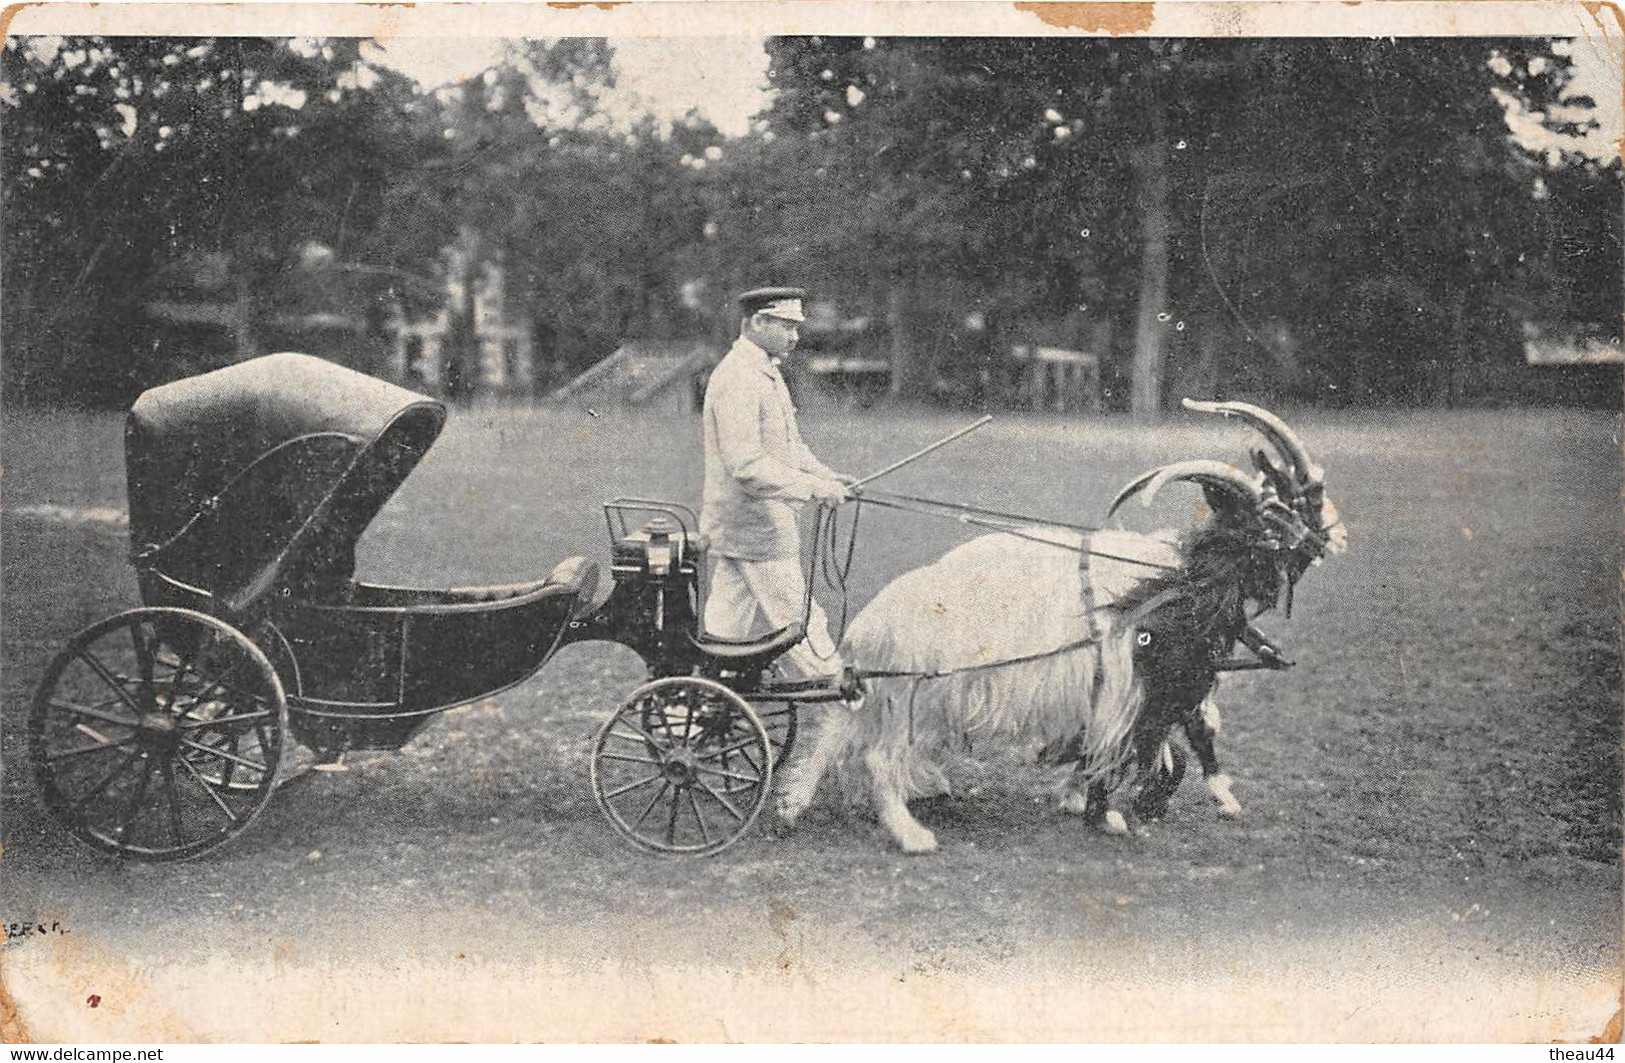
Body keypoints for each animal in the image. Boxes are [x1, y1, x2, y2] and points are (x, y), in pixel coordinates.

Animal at [773, 399, 1345, 858]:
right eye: (1278, 514)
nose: (1333, 541)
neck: (1173, 580)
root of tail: (872, 625)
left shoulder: (1131, 692)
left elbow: (1160, 746)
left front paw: (1094, 802)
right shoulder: (1136, 687)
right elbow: (1153, 748)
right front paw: (1112, 813)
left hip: (880, 696)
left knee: (836, 734)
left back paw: (794, 806)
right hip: (917, 697)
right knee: (878, 758)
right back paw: (911, 835)